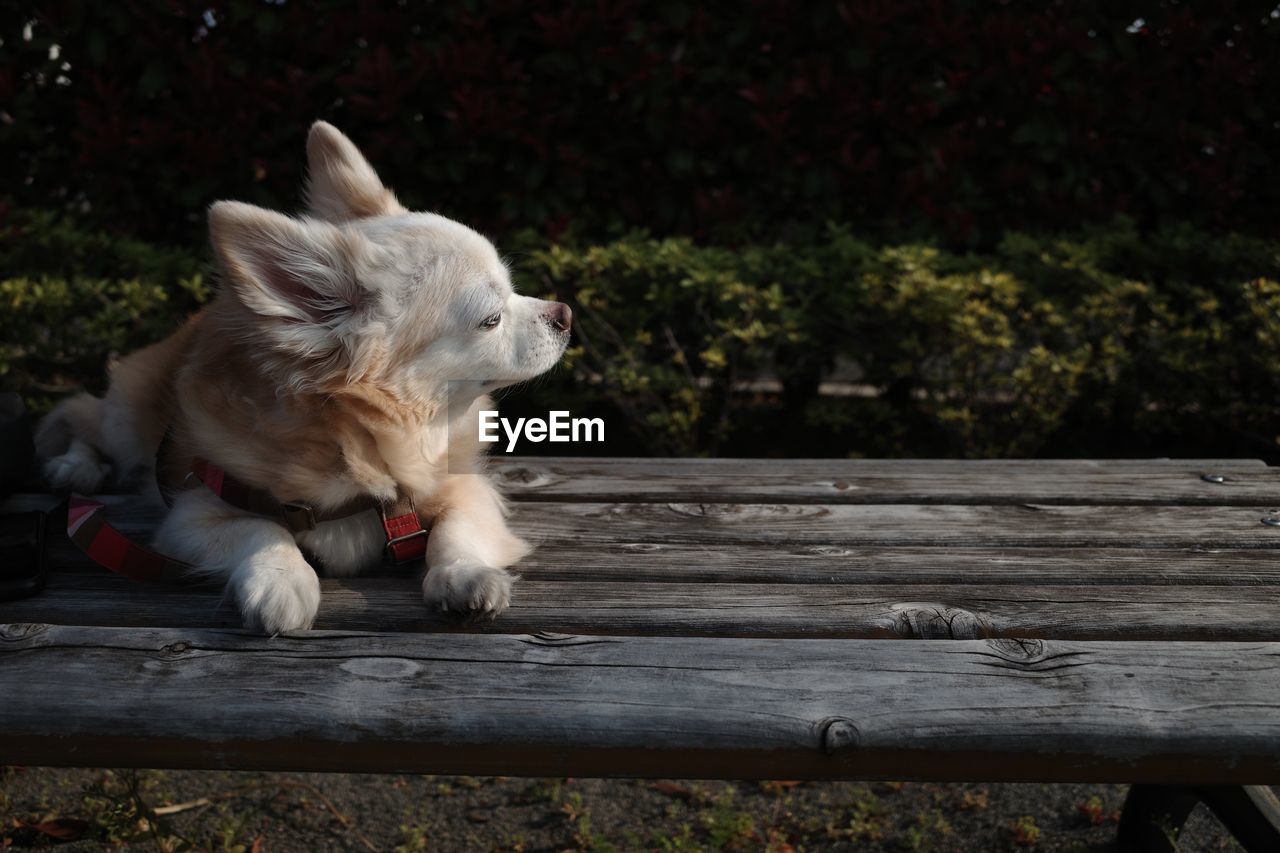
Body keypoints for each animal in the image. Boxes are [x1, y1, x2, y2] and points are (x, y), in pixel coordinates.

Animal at [33, 124, 570, 630]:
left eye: (514, 292)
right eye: (491, 319)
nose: (564, 313)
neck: (368, 450)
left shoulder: (466, 488)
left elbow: (455, 529)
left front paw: (464, 575)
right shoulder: (190, 515)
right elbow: (260, 528)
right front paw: (281, 582)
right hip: (130, 414)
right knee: (84, 417)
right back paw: (76, 466)